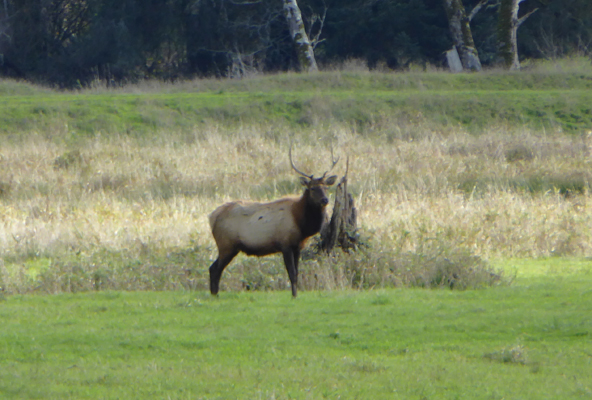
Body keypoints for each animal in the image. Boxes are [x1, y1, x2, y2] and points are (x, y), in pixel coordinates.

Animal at [207, 145, 338, 296]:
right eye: (312, 188)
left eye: (326, 187)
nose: (325, 200)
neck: (301, 223)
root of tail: (212, 217)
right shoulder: (285, 244)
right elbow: (291, 273)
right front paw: (293, 296)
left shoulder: (297, 246)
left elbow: (297, 273)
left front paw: (295, 294)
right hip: (226, 245)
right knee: (214, 269)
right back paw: (215, 295)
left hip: (229, 247)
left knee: (214, 268)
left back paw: (215, 295)